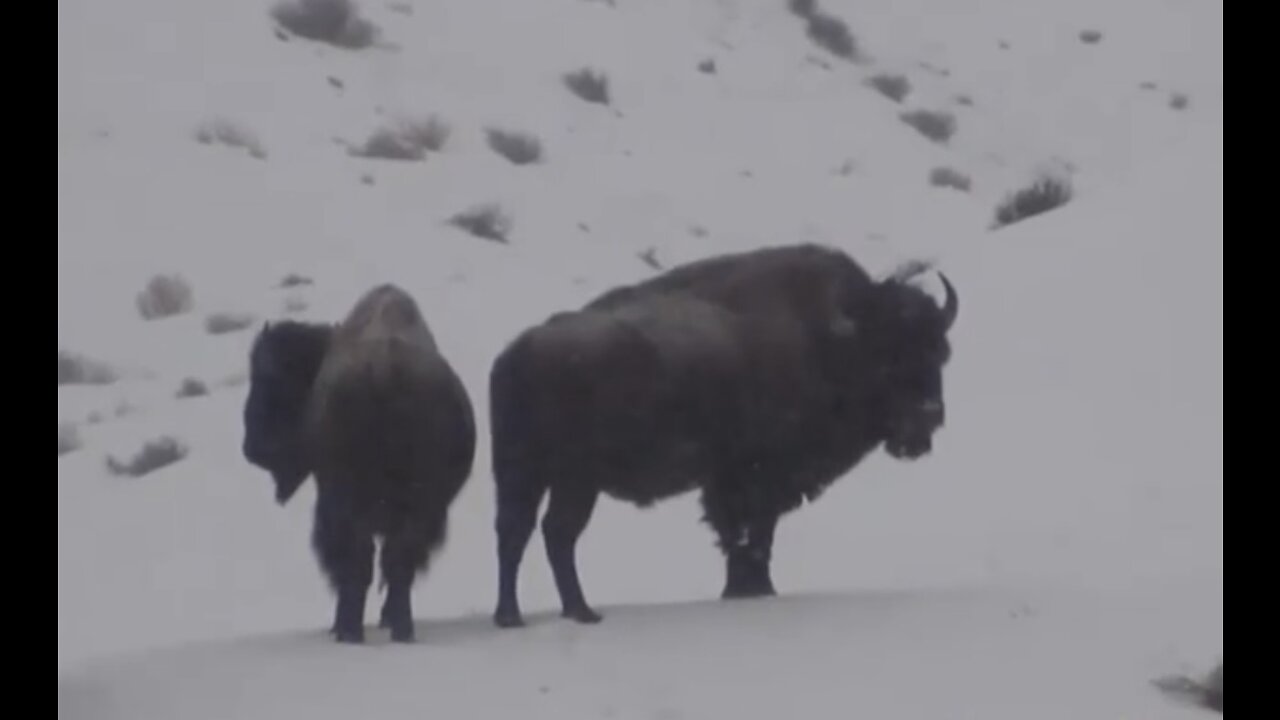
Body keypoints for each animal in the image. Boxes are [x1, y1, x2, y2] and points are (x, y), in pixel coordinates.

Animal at [240, 283, 476, 640]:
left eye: (270, 380)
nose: (253, 448)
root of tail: (383, 372)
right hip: (420, 504)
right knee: (396, 560)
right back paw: (399, 629)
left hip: (347, 501)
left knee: (358, 559)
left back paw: (348, 631)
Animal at [488, 240, 962, 622]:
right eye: (886, 357)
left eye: (939, 351)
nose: (927, 416)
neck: (826, 341)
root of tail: (521, 351)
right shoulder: (756, 476)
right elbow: (752, 534)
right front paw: (751, 589)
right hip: (574, 480)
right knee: (556, 532)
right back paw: (581, 612)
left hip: (521, 474)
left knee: (515, 531)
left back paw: (514, 616)